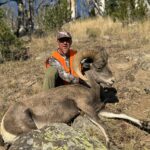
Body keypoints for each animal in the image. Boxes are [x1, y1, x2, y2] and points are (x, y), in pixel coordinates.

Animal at [0, 47, 149, 148]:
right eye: (99, 67)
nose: (112, 80)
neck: (90, 89)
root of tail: (3, 125)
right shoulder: (87, 110)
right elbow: (102, 124)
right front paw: (109, 142)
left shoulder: (99, 110)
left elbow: (121, 114)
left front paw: (144, 124)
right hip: (30, 128)